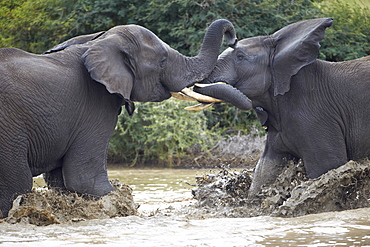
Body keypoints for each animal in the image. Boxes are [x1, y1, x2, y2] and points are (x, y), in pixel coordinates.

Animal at [0, 19, 237, 217]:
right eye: (162, 61)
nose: (233, 39)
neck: (97, 42)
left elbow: (60, 181)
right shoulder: (95, 104)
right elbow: (86, 180)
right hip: (9, 129)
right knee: (18, 183)